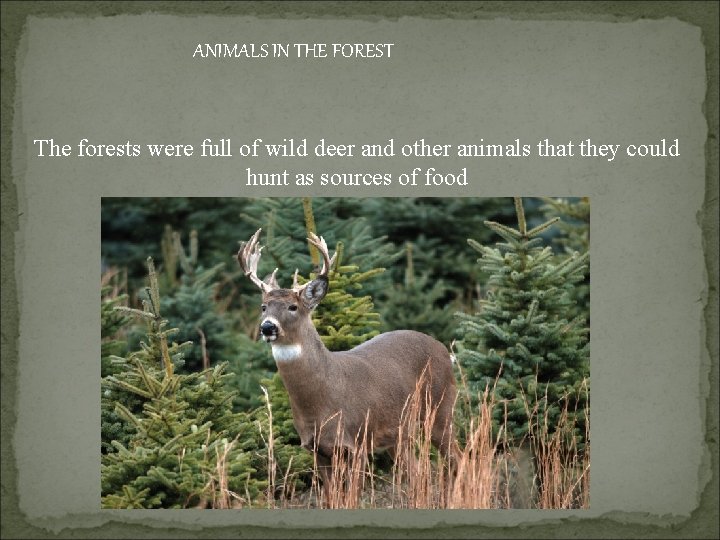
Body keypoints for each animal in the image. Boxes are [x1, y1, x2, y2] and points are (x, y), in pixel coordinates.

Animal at [237, 228, 458, 502]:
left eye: (293, 306)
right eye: (263, 306)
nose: (268, 327)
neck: (322, 402)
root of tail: (444, 351)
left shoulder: (358, 440)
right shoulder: (316, 448)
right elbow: (331, 497)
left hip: (441, 407)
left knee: (457, 457)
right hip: (400, 434)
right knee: (417, 471)